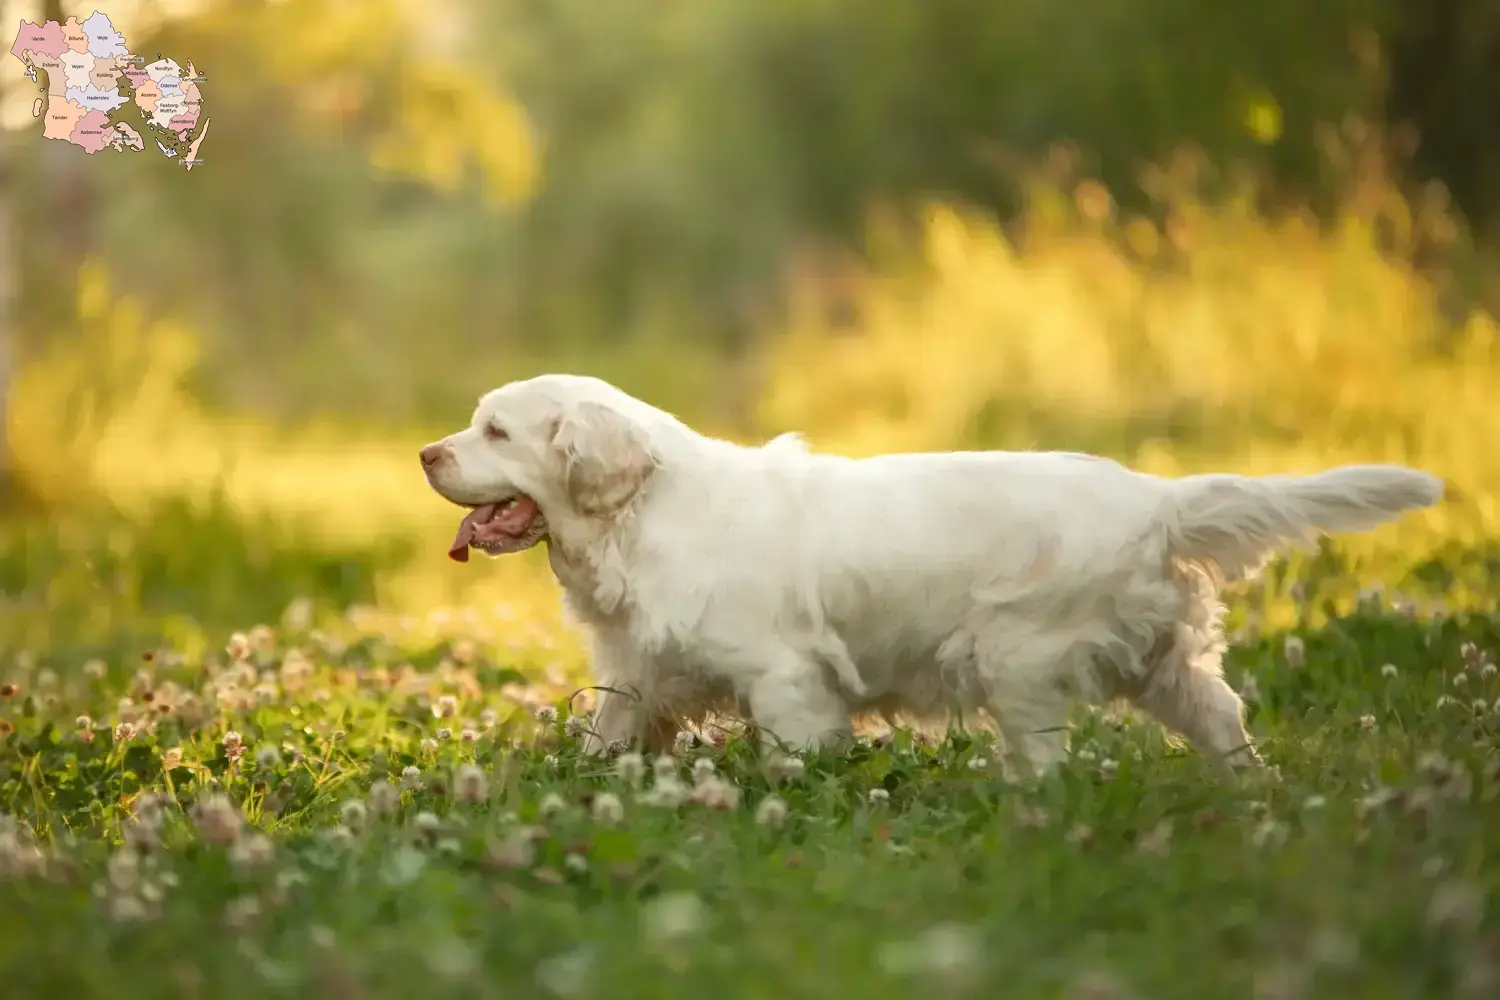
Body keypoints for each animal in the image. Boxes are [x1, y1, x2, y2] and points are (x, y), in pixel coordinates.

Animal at [420, 374, 1440, 773]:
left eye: (496, 431)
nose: (426, 453)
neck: (640, 517)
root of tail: (1153, 499)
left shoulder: (785, 678)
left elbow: (799, 753)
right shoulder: (638, 675)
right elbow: (607, 737)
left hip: (1020, 660)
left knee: (1048, 759)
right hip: (1161, 662)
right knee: (1223, 718)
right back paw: (1252, 791)